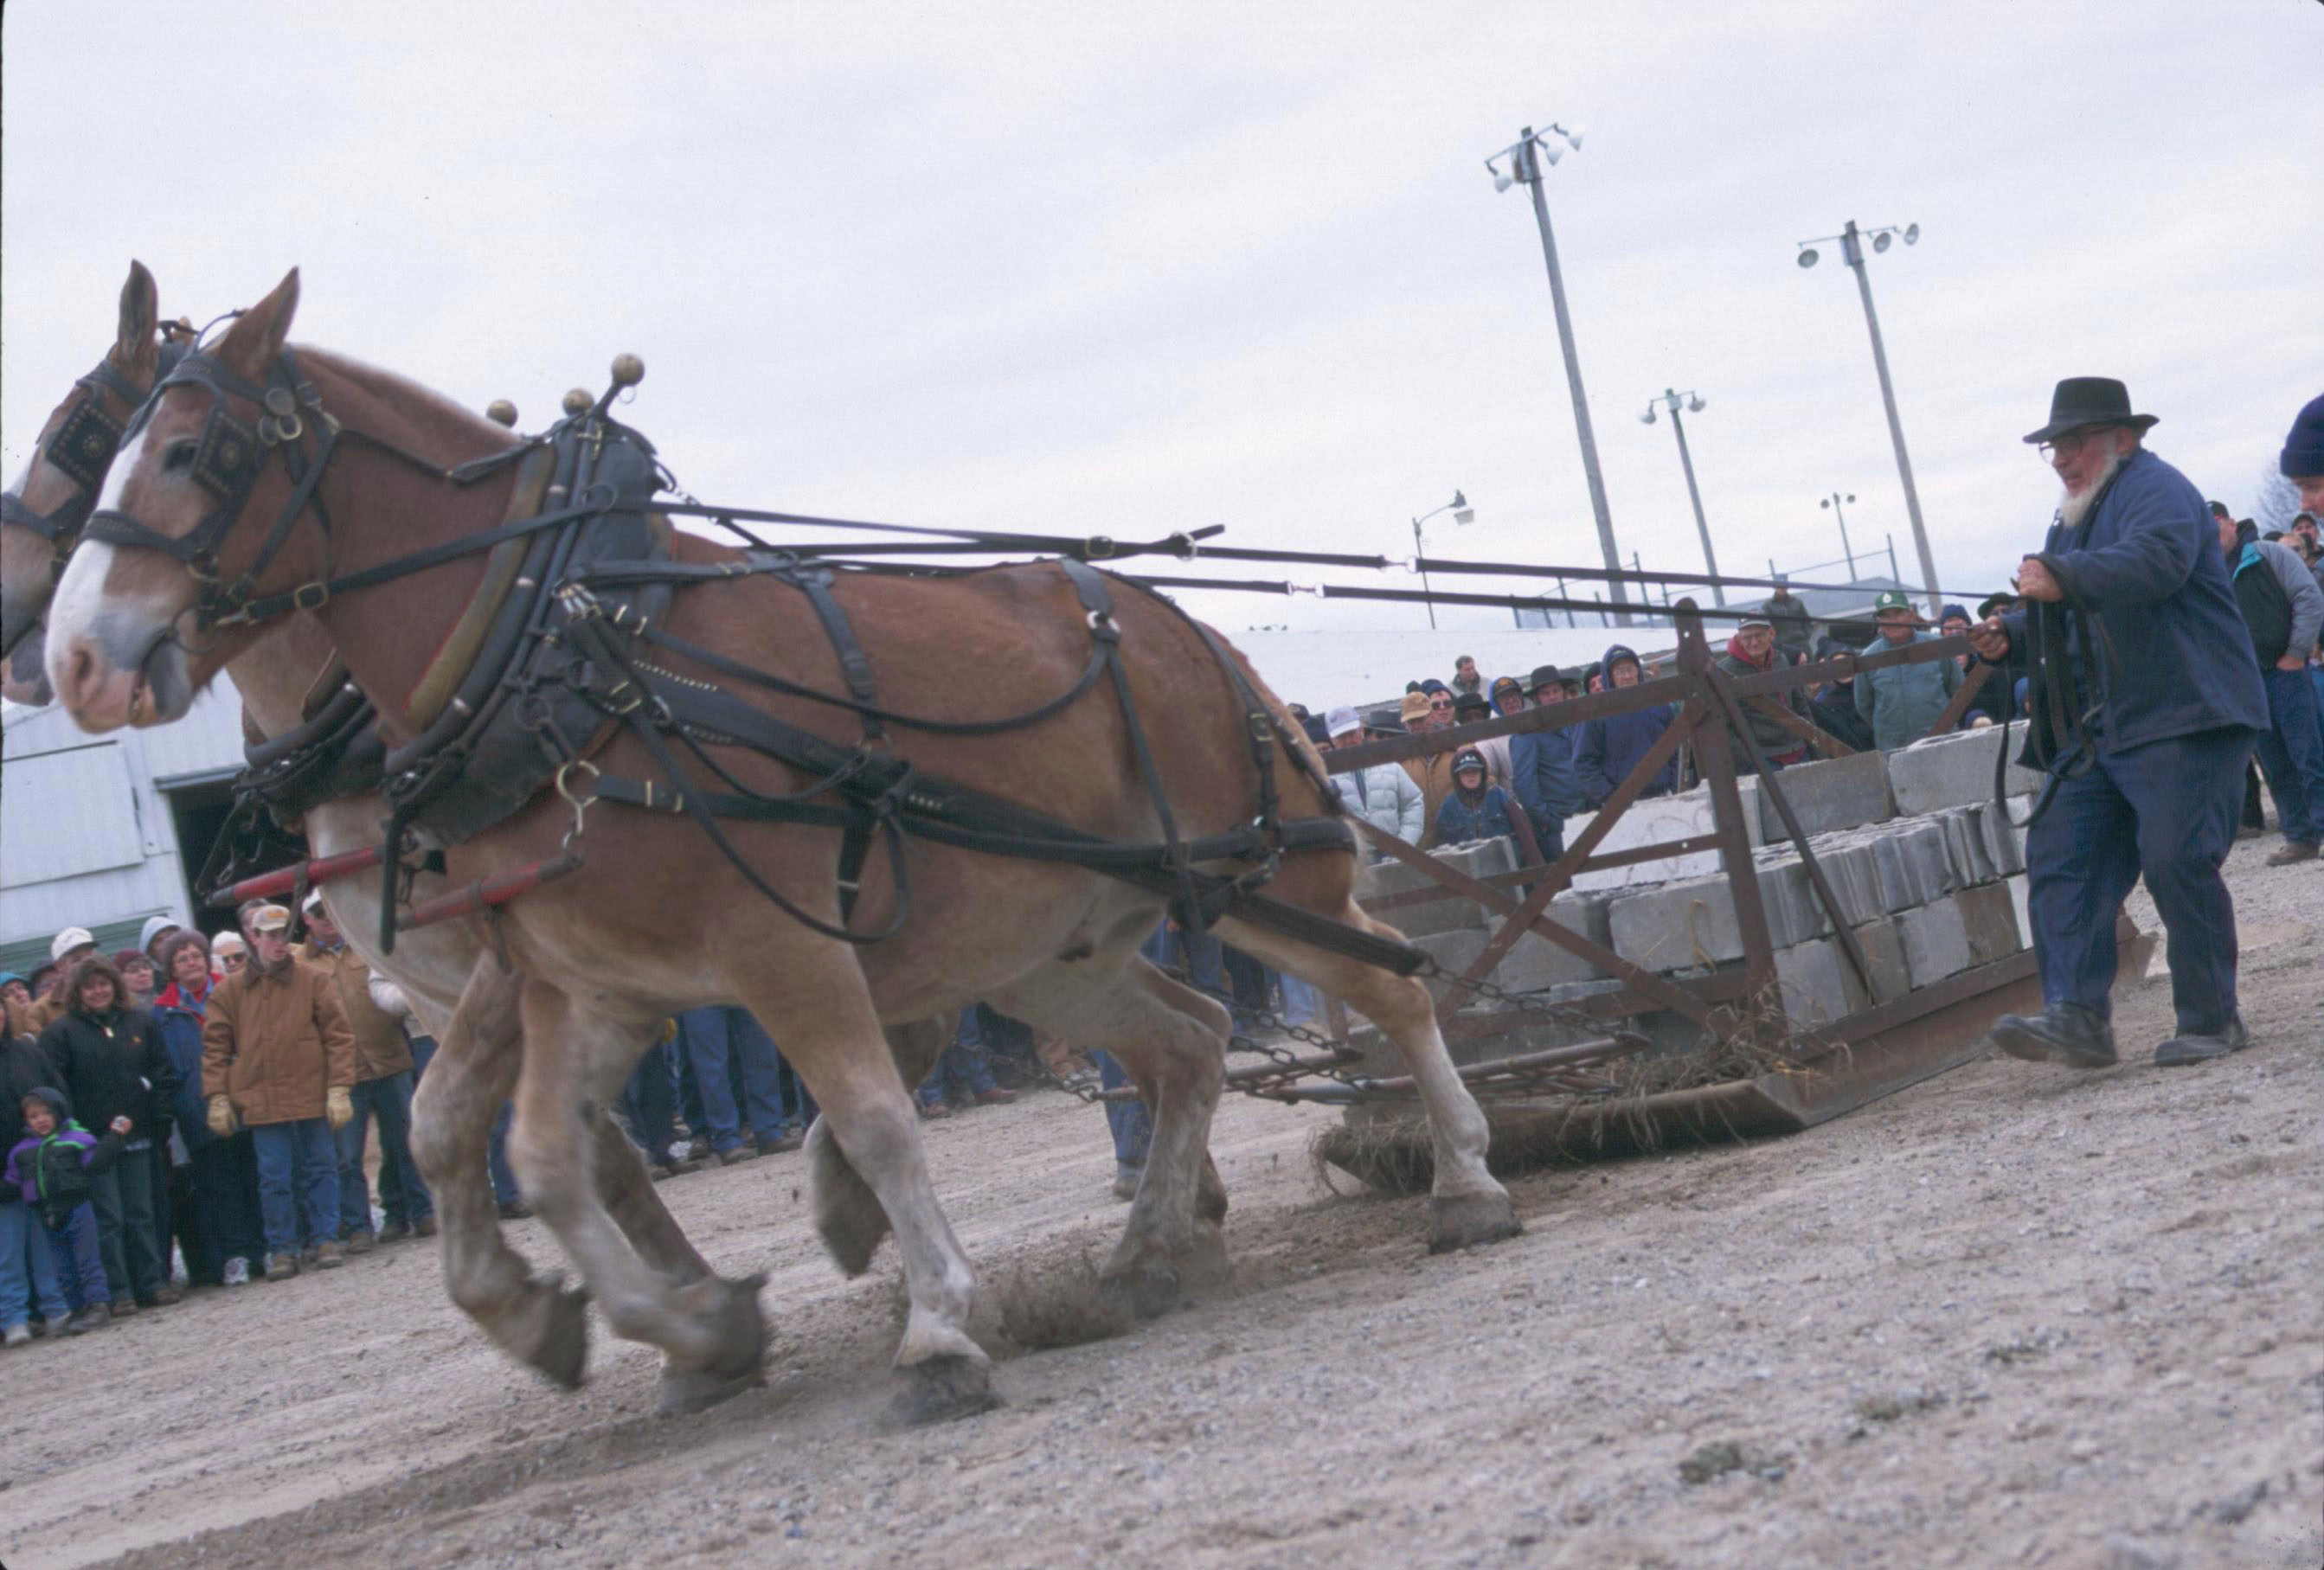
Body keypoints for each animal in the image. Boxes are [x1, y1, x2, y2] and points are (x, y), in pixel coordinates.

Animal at [49, 269, 1525, 1421]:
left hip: (1262, 867)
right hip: (1055, 942)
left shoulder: (780, 947)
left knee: (1388, 981)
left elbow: (872, 1117)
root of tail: (1185, 625)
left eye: (184, 454)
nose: (70, 660)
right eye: (102, 454)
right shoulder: (587, 982)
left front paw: (934, 1325)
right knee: (1187, 1039)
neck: (562, 645)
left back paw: (1464, 1177)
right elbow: (542, 1154)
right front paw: (677, 1325)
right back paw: (1146, 1247)